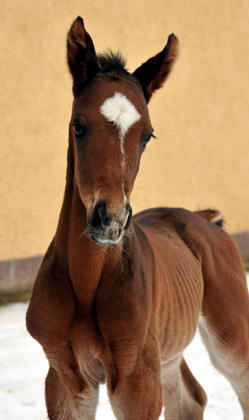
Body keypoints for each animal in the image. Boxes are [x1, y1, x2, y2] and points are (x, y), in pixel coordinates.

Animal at [26, 17, 249, 420]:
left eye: (148, 135)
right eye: (78, 126)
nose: (110, 219)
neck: (87, 283)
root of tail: (203, 218)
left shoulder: (135, 380)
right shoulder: (66, 379)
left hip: (230, 334)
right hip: (165, 354)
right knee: (190, 399)